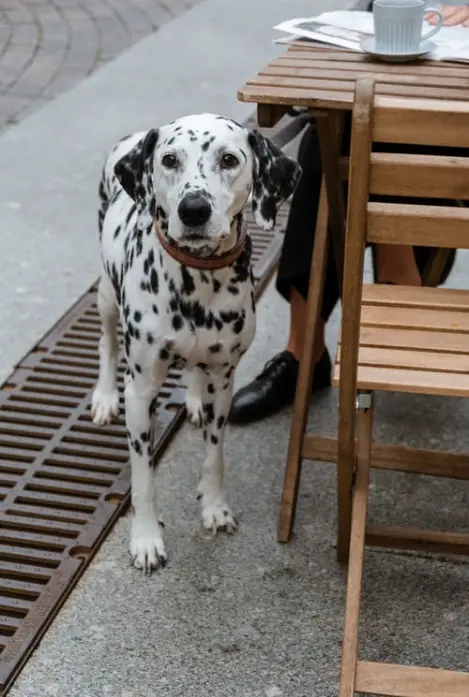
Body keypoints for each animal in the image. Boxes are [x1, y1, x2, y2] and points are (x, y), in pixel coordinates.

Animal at [90, 113, 300, 572]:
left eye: (229, 159)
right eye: (169, 159)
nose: (194, 210)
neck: (198, 281)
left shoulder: (224, 381)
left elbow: (214, 456)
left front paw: (215, 508)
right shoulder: (141, 392)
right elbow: (143, 476)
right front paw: (146, 538)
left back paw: (191, 398)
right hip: (106, 295)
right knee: (106, 343)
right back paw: (103, 396)